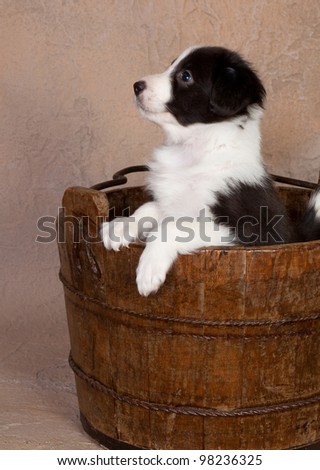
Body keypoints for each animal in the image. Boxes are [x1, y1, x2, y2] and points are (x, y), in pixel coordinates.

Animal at [100, 46, 320, 296]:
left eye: (186, 76)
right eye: (171, 65)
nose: (137, 85)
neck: (194, 152)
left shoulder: (250, 232)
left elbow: (174, 228)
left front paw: (149, 269)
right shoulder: (173, 203)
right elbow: (148, 208)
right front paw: (120, 226)